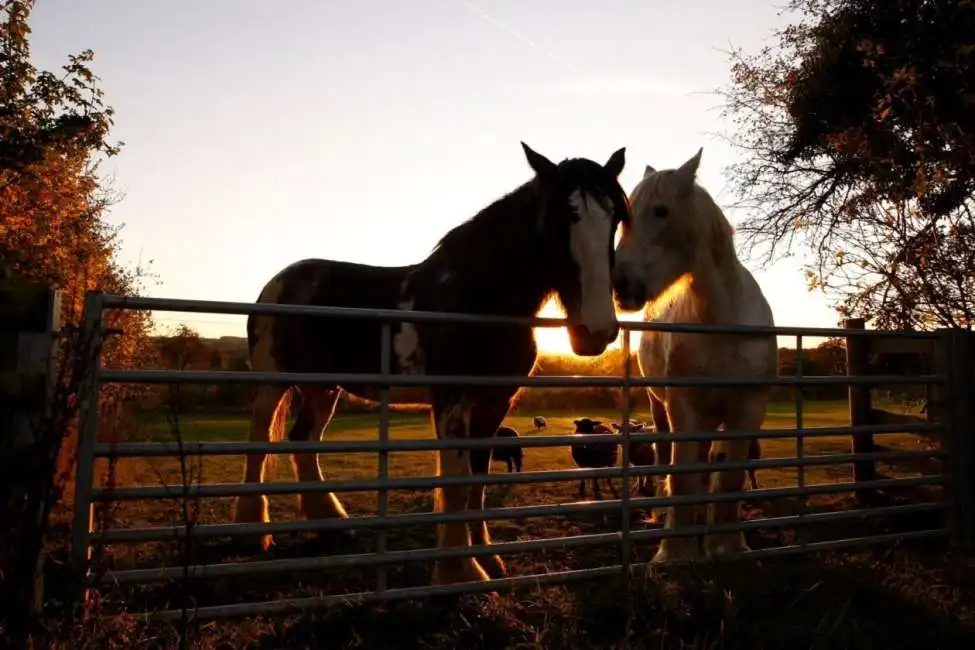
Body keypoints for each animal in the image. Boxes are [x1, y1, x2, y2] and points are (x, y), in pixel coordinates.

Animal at [236, 143, 632, 588]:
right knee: (260, 440)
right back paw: (253, 533)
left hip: (323, 388)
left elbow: (477, 479)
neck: (477, 300)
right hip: (273, 382)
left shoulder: (494, 405)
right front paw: (458, 572)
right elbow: (456, 483)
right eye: (559, 218)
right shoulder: (451, 401)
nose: (595, 332)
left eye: (615, 218)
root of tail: (277, 283)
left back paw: (329, 523)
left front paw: (487, 558)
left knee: (304, 440)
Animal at [608, 149, 776, 560]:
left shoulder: (748, 409)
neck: (722, 324)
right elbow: (681, 478)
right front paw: (675, 553)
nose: (620, 286)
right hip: (662, 410)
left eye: (661, 211)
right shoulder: (682, 407)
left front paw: (728, 545)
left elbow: (728, 477)